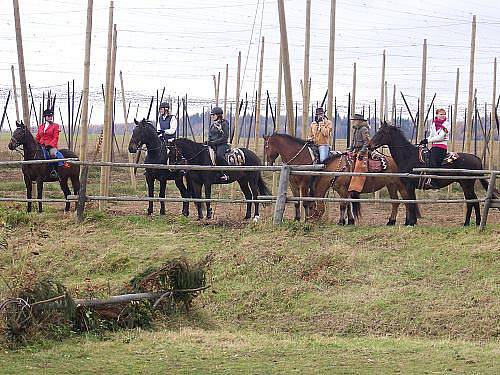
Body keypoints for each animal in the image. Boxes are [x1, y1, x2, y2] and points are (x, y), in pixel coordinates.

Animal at [366, 122, 498, 226]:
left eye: (382, 132)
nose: (369, 145)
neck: (408, 156)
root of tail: (476, 159)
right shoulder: (407, 187)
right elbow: (410, 202)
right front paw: (411, 222)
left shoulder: (409, 186)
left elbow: (411, 203)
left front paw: (411, 223)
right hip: (466, 184)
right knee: (473, 201)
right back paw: (475, 222)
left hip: (467, 184)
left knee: (472, 201)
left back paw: (468, 223)